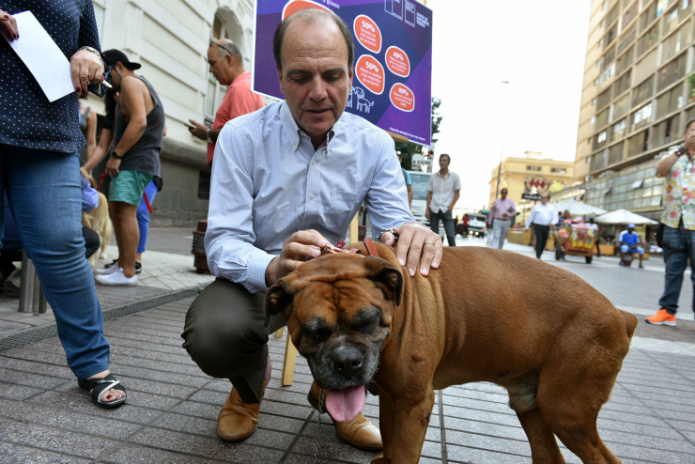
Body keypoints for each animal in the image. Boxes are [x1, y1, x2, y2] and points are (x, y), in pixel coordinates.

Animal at [268, 241, 640, 462]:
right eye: (315, 331)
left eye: (369, 320)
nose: (347, 361)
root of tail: (622, 315)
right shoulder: (394, 399)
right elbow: (389, 438)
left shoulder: (413, 404)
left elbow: (402, 453)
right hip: (532, 406)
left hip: (567, 413)